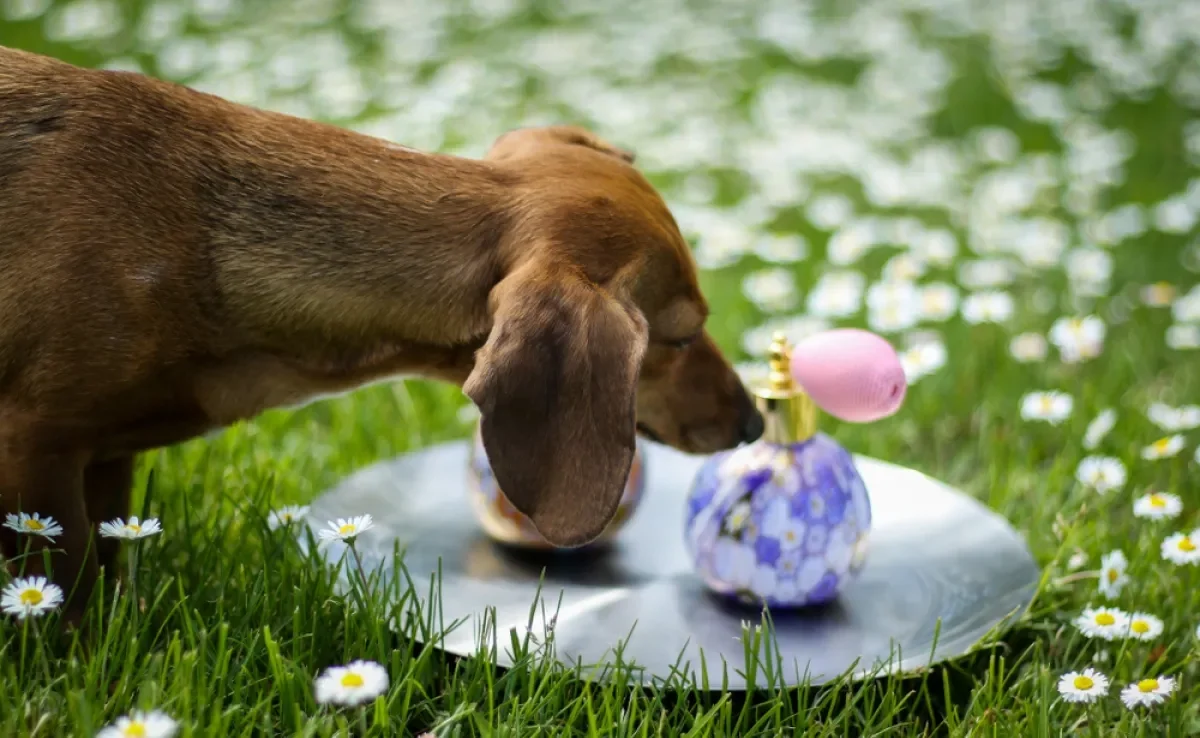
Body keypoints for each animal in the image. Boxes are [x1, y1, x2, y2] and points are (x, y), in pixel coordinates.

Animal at [0, 46, 763, 619]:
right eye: (680, 338)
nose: (755, 422)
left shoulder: (107, 458)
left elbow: (110, 563)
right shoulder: (36, 452)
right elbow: (69, 601)